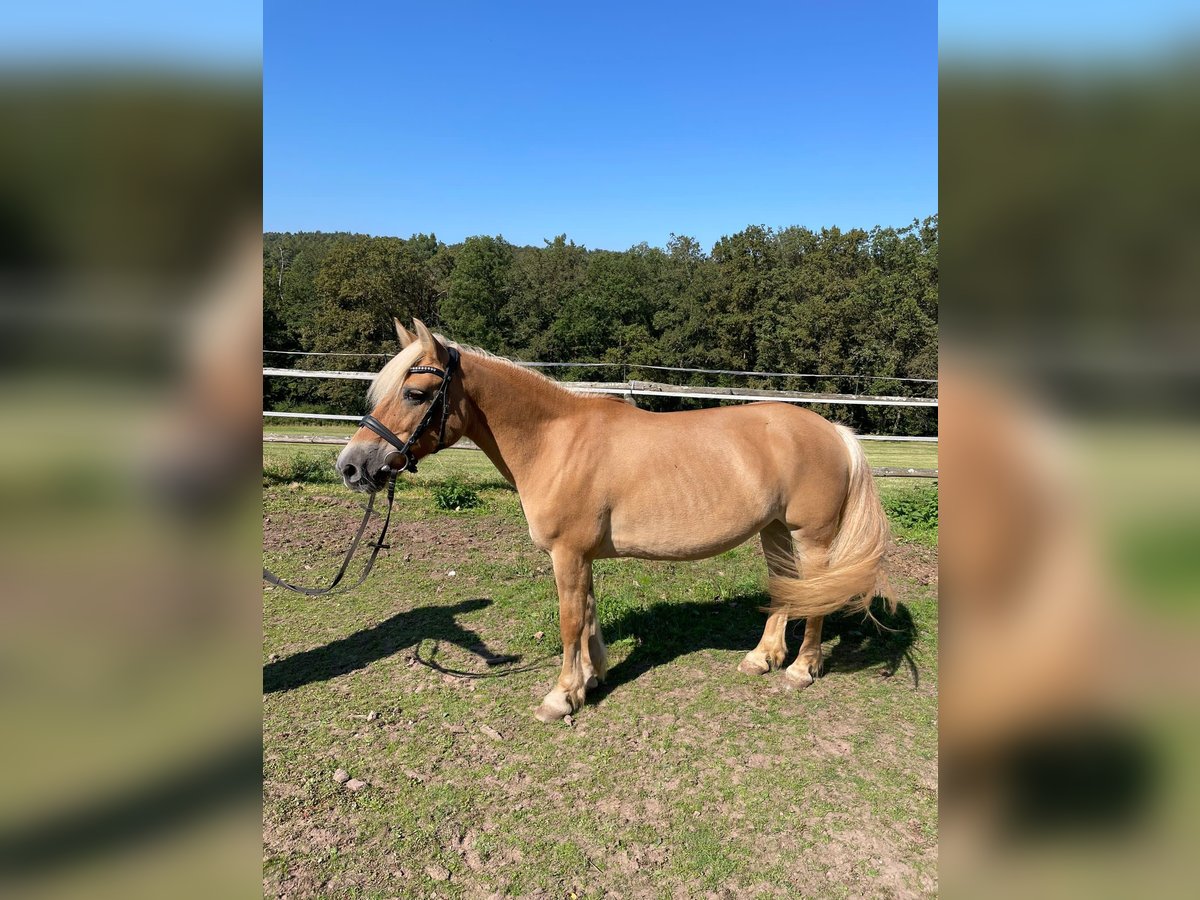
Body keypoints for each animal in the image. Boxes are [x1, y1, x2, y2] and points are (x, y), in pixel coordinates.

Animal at [338, 321, 892, 724]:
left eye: (415, 393)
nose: (352, 466)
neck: (556, 440)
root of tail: (833, 430)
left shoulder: (567, 554)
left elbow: (570, 620)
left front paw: (562, 696)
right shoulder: (580, 556)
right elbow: (587, 614)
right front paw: (591, 678)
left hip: (812, 536)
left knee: (815, 595)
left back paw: (800, 670)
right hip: (775, 531)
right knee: (785, 586)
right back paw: (763, 657)